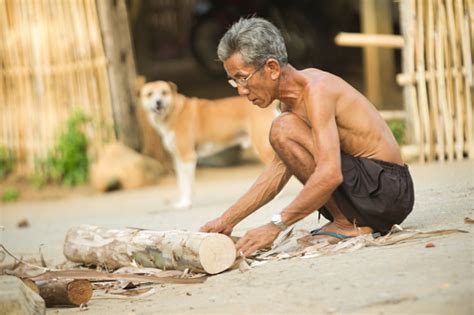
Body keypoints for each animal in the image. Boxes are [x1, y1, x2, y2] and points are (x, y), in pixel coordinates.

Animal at [137, 81, 278, 210]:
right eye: (149, 94)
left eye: (164, 92)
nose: (158, 102)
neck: (175, 112)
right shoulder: (178, 159)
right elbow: (182, 183)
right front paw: (182, 202)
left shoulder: (187, 156)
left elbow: (187, 184)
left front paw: (186, 203)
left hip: (263, 147)